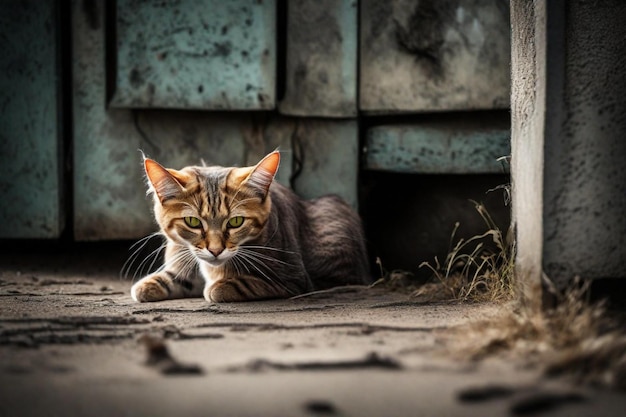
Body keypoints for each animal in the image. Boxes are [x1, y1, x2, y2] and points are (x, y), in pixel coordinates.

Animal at [129, 150, 368, 302]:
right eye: (193, 222)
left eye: (236, 222)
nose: (215, 250)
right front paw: (150, 284)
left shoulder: (292, 279)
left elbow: (234, 285)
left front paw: (219, 286)